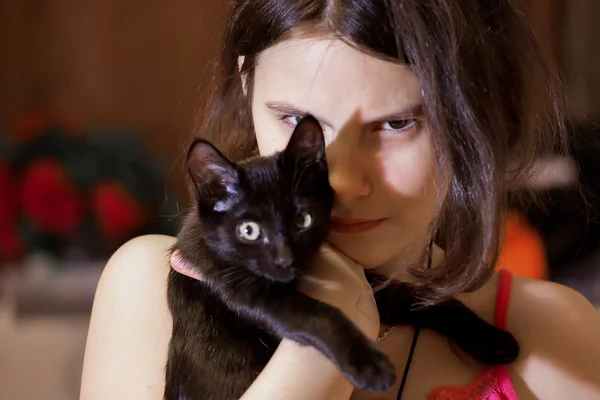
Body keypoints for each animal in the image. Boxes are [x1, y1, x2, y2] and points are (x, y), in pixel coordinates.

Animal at [163, 115, 516, 400]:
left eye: (303, 219)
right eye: (248, 230)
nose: (286, 260)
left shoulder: (371, 285)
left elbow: (415, 296)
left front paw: (492, 339)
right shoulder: (238, 285)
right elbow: (318, 313)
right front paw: (369, 366)